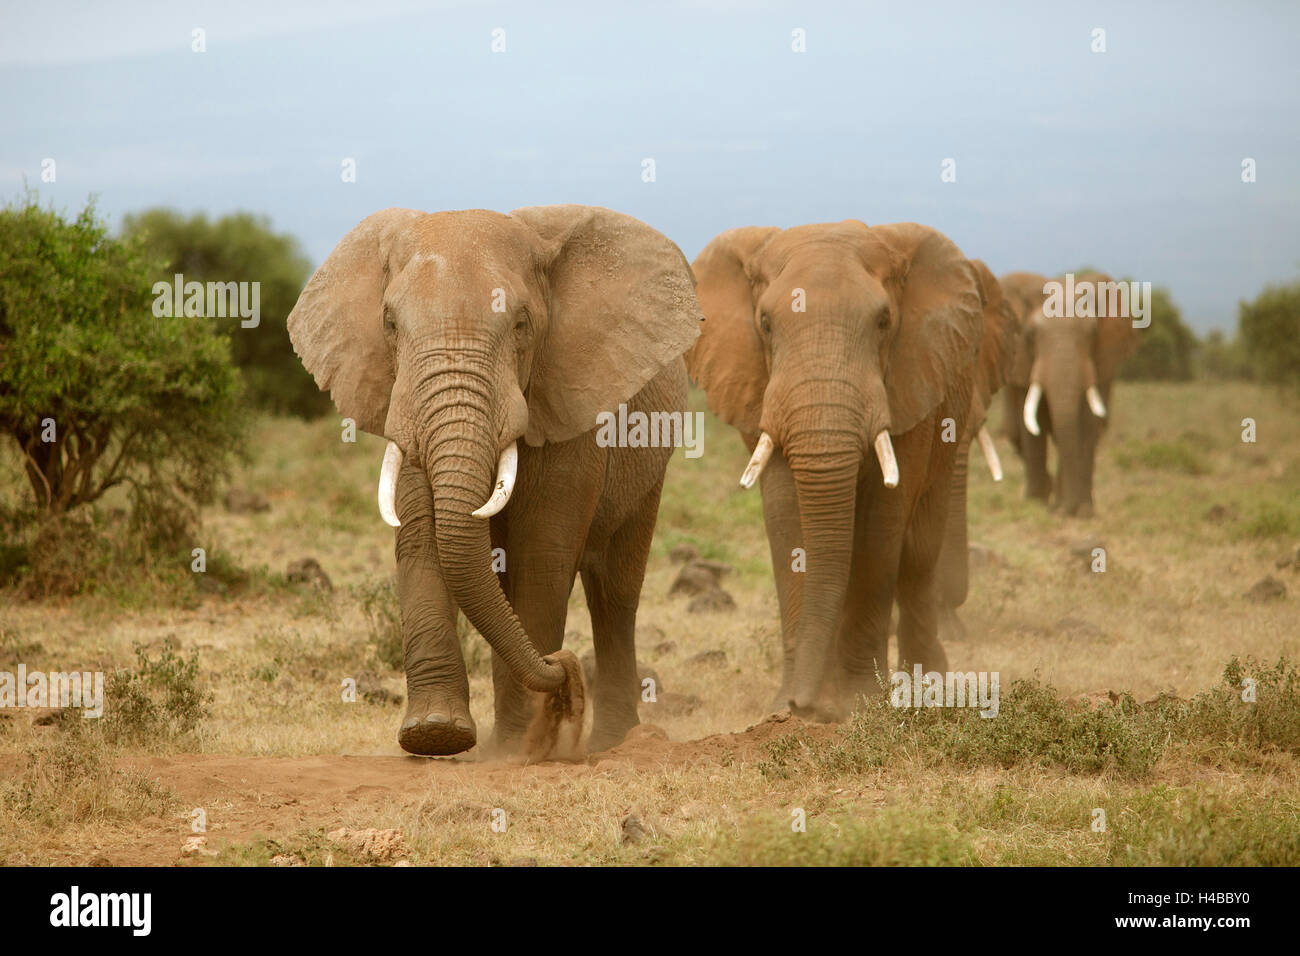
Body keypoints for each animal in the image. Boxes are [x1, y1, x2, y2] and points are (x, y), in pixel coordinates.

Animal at [291, 204, 707, 754]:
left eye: (522, 324)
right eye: (389, 323)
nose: (563, 669)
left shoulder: (570, 406)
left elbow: (542, 553)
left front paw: (518, 748)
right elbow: (423, 540)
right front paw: (435, 735)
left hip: (651, 463)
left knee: (614, 590)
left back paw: (611, 743)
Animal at [686, 222, 977, 717]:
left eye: (884, 322)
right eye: (765, 324)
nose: (802, 705)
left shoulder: (907, 385)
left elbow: (881, 528)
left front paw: (858, 702)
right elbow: (786, 521)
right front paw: (792, 706)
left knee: (918, 553)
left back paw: (927, 685)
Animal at [993, 269, 1138, 515]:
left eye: (1092, 333)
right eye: (1030, 334)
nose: (1068, 510)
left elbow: (1087, 423)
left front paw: (1082, 513)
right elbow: (1032, 429)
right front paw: (1036, 504)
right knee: (1015, 431)